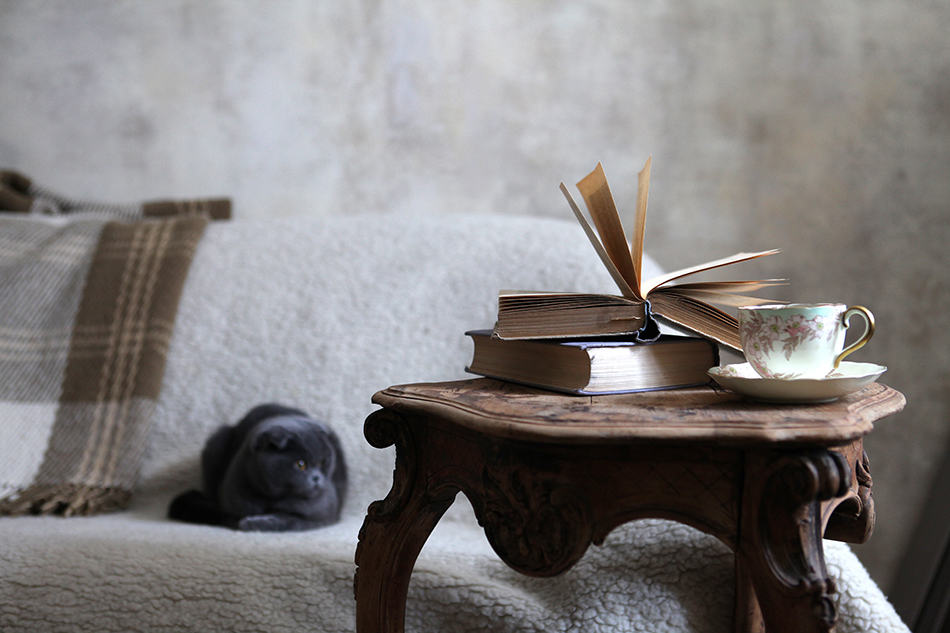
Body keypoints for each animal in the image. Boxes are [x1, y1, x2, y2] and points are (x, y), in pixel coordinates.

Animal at [169, 402, 348, 532]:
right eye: (301, 464)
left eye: (324, 462)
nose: (317, 478)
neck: (271, 499)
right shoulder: (231, 506)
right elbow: (234, 517)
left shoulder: (320, 516)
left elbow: (288, 519)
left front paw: (256, 522)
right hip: (216, 443)